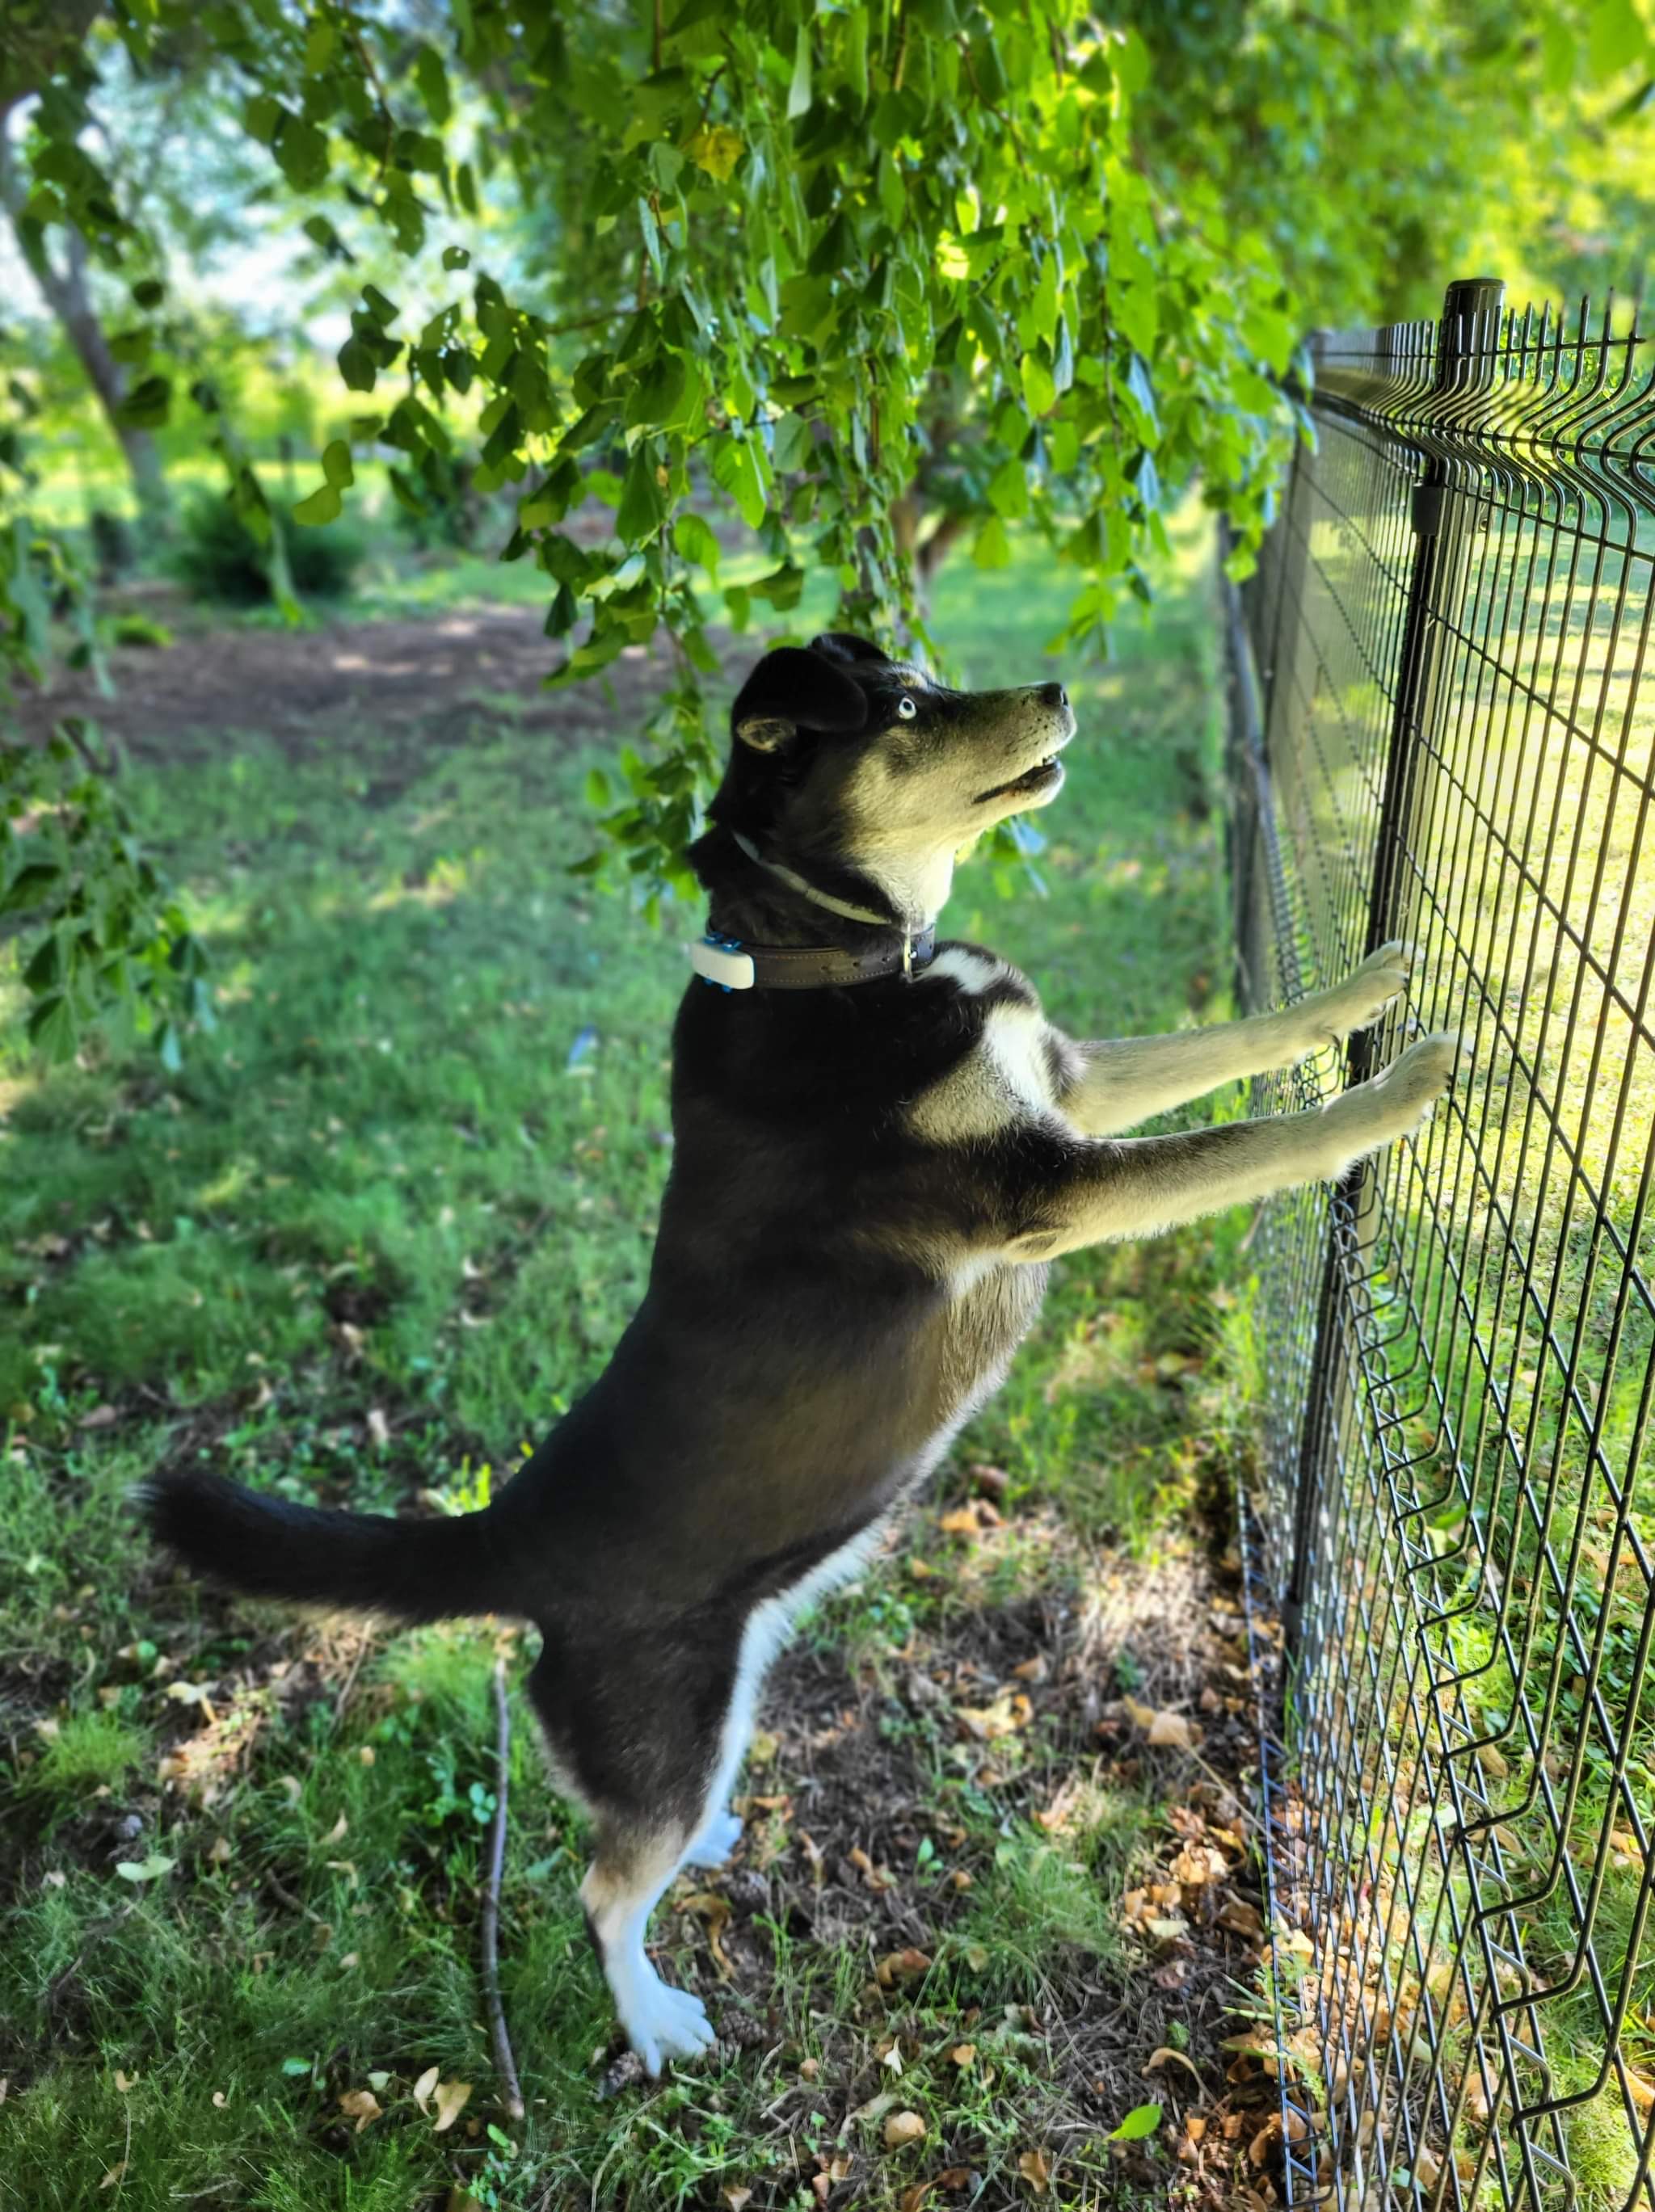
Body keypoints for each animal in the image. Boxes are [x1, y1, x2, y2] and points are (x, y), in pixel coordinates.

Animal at [143, 630, 1462, 2073]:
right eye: (905, 708)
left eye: (929, 675)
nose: (1058, 690)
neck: (834, 962)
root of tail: (508, 1532)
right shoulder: (1044, 1186)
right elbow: (1250, 1141)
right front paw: (1398, 1089)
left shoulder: (1065, 1080)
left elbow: (1237, 1044)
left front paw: (1367, 986)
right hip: (671, 1722)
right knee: (604, 1887)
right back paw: (655, 2016)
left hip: (736, 1675)